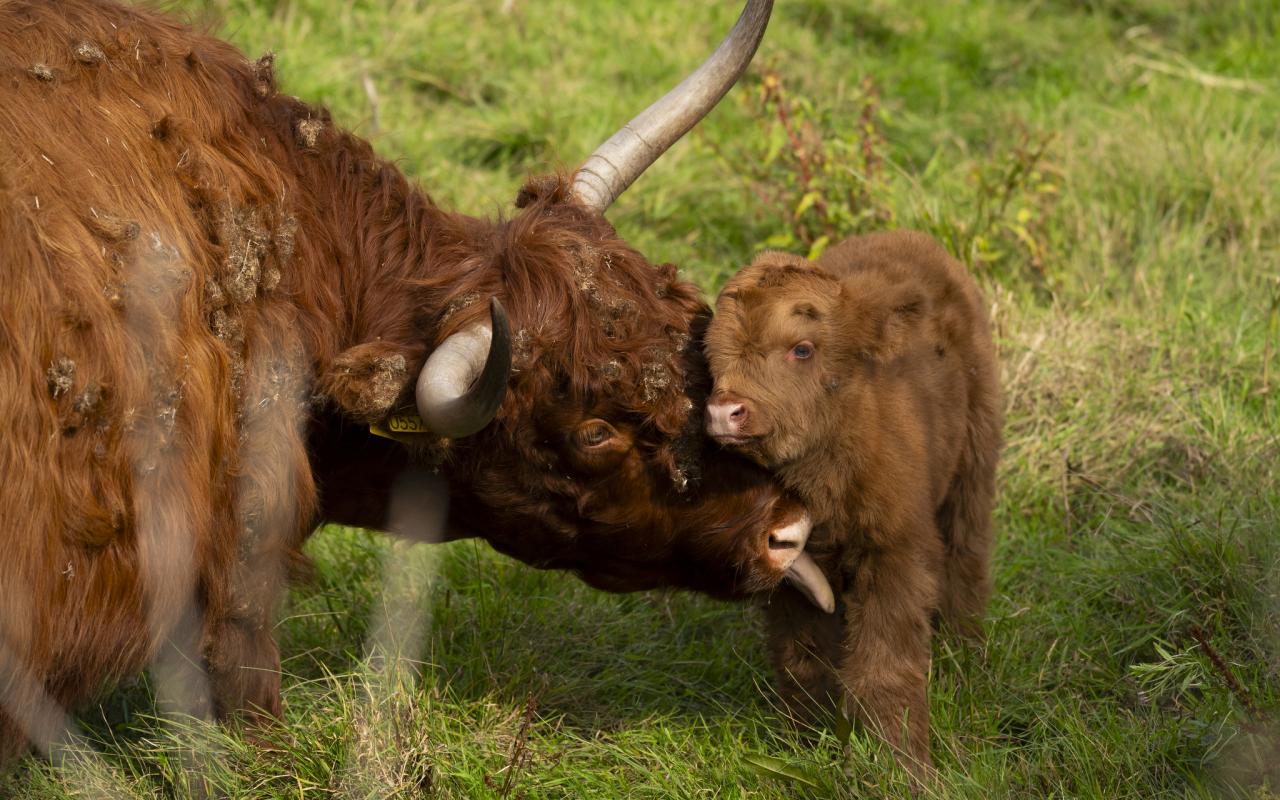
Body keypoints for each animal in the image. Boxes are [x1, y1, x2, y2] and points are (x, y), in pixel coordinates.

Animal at [703, 232, 1003, 779]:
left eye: (802, 349)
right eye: (712, 357)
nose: (724, 412)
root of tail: (912, 237)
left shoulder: (895, 554)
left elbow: (884, 667)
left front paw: (904, 766)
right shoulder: (788, 567)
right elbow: (803, 658)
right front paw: (806, 742)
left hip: (974, 461)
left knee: (966, 556)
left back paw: (966, 655)